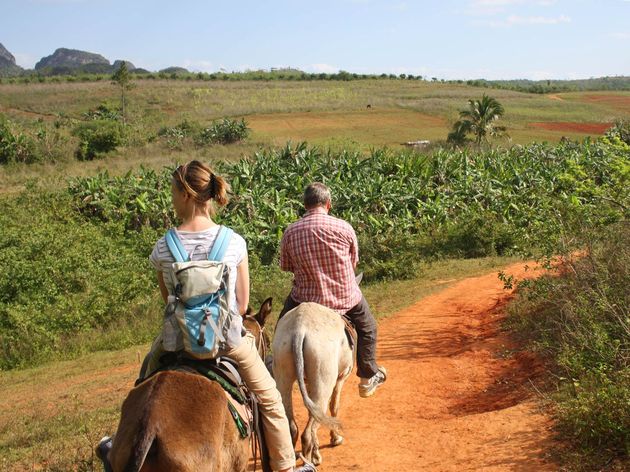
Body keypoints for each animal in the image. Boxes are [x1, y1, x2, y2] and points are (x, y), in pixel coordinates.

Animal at [272, 302, 356, 464]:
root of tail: (299, 329)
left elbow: (312, 411)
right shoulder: (341, 376)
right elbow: (334, 407)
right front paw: (335, 439)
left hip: (281, 359)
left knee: (293, 424)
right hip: (323, 366)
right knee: (309, 429)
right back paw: (311, 460)